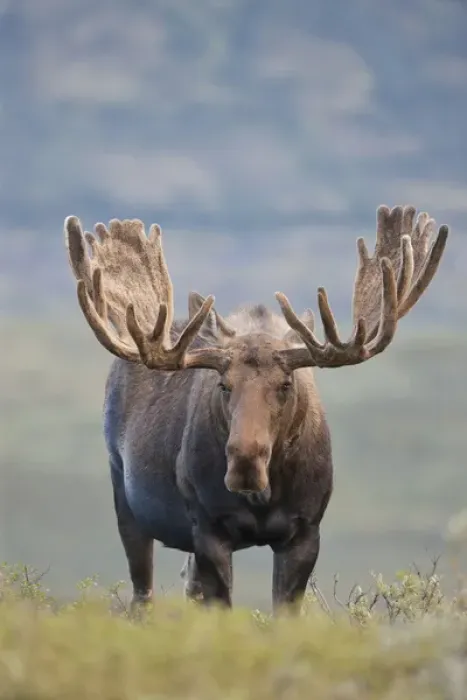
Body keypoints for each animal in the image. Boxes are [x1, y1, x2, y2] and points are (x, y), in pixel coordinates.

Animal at [64, 204, 448, 614]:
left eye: (286, 384)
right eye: (224, 384)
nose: (244, 462)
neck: (266, 498)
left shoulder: (305, 531)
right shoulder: (209, 528)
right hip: (124, 494)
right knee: (143, 593)